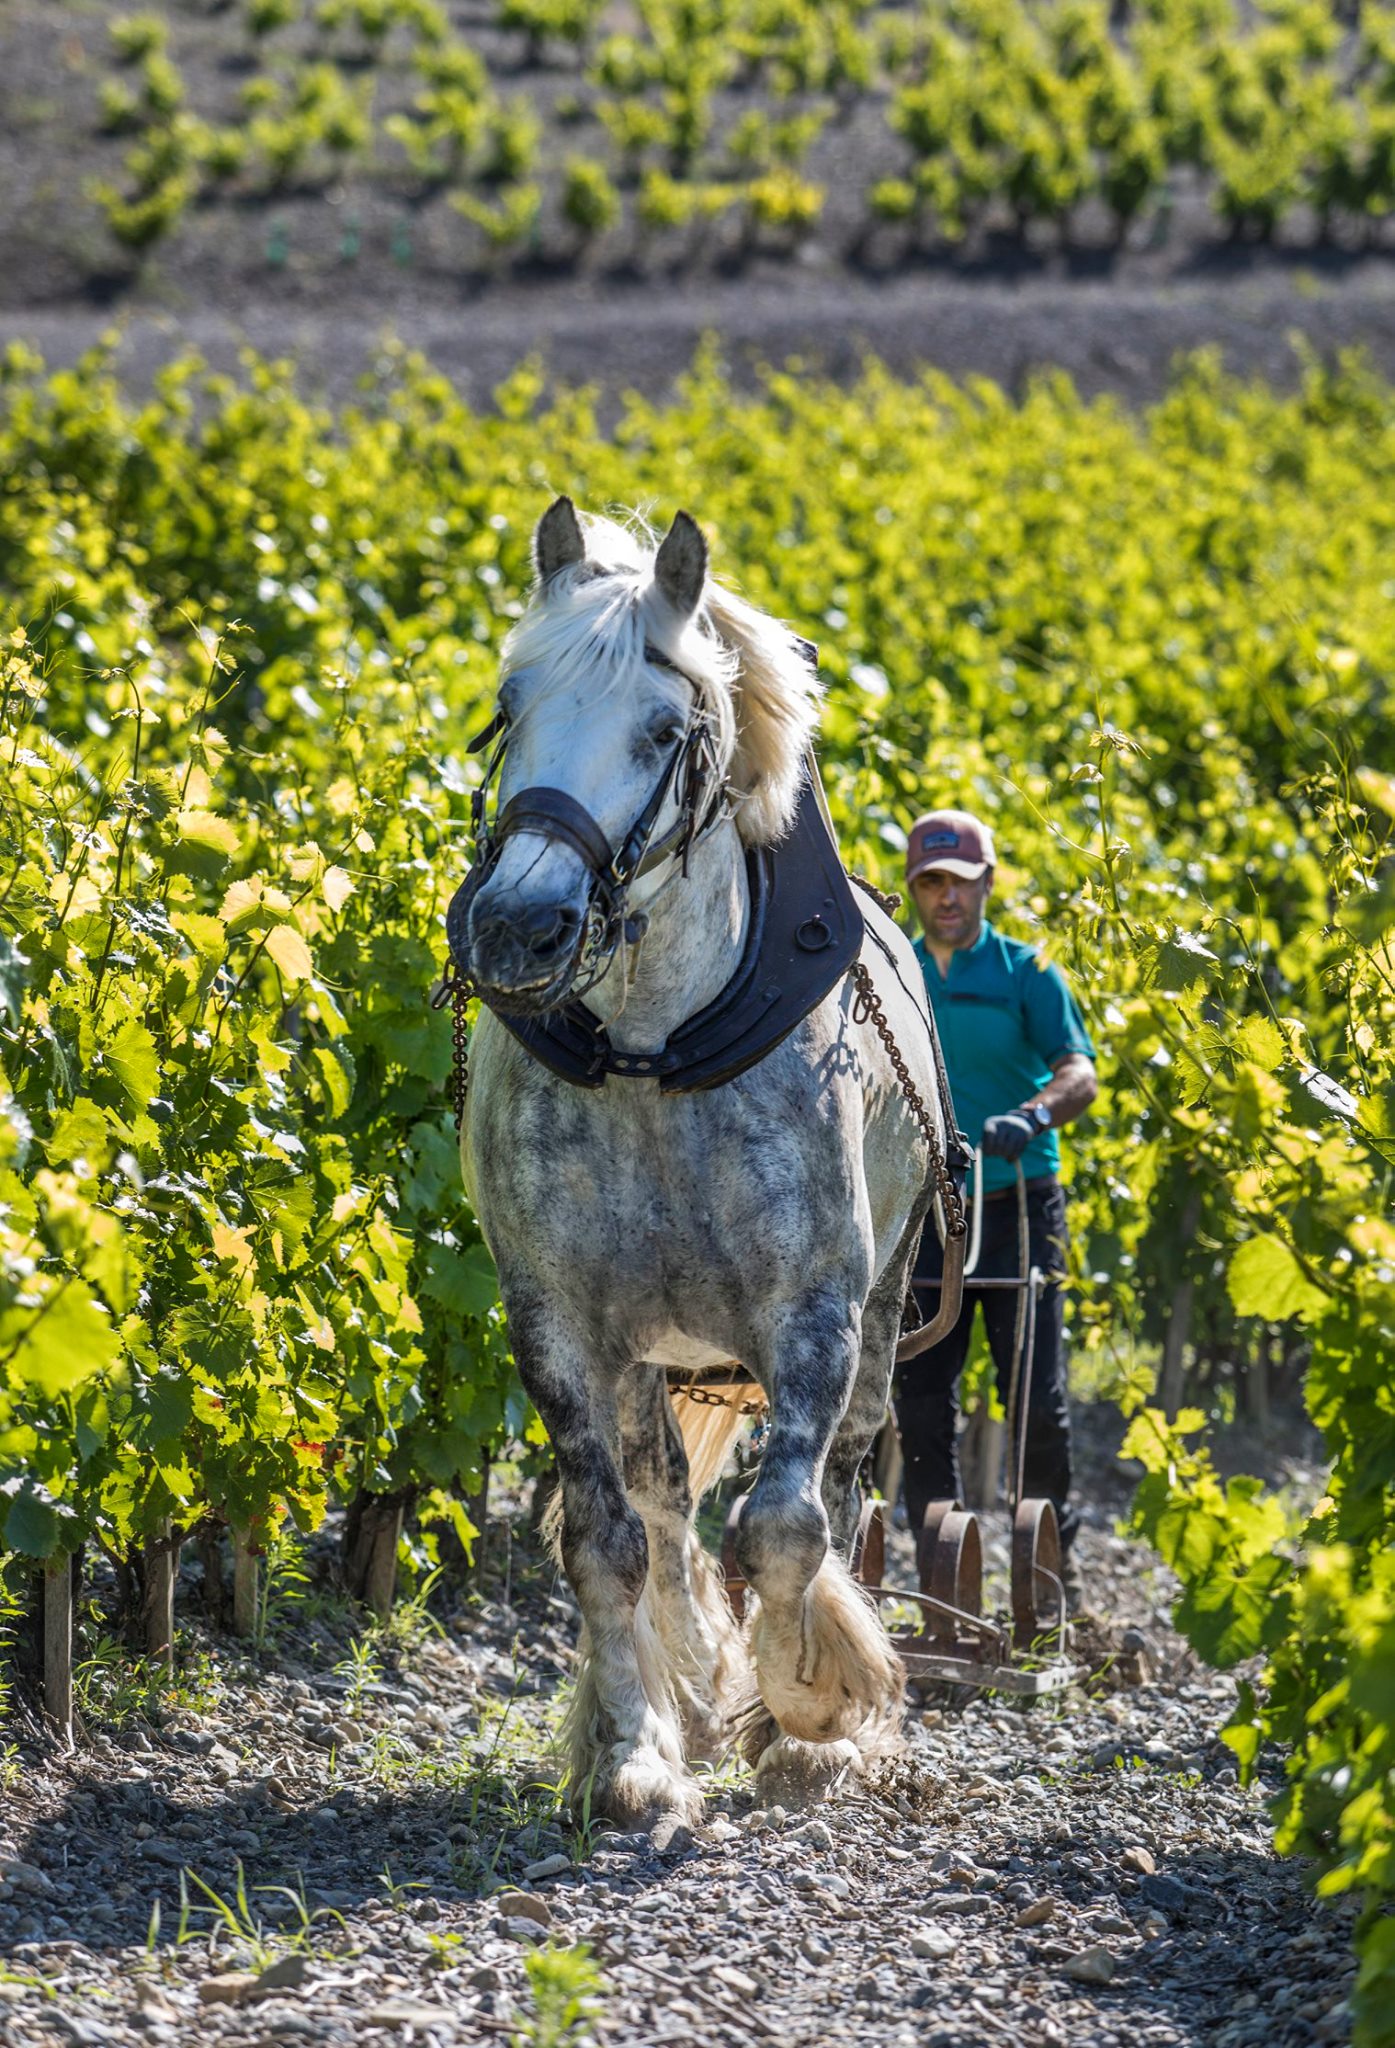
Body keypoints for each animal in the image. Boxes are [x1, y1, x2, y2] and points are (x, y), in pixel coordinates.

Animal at [456, 495, 946, 1826]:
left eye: (666, 729)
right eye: (510, 701)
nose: (517, 926)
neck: (648, 1055)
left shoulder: (813, 1310)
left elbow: (784, 1526)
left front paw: (811, 1709)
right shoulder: (559, 1322)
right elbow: (609, 1539)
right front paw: (636, 1749)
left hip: (885, 1306)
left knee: (844, 1483)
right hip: (645, 1356)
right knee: (667, 1502)